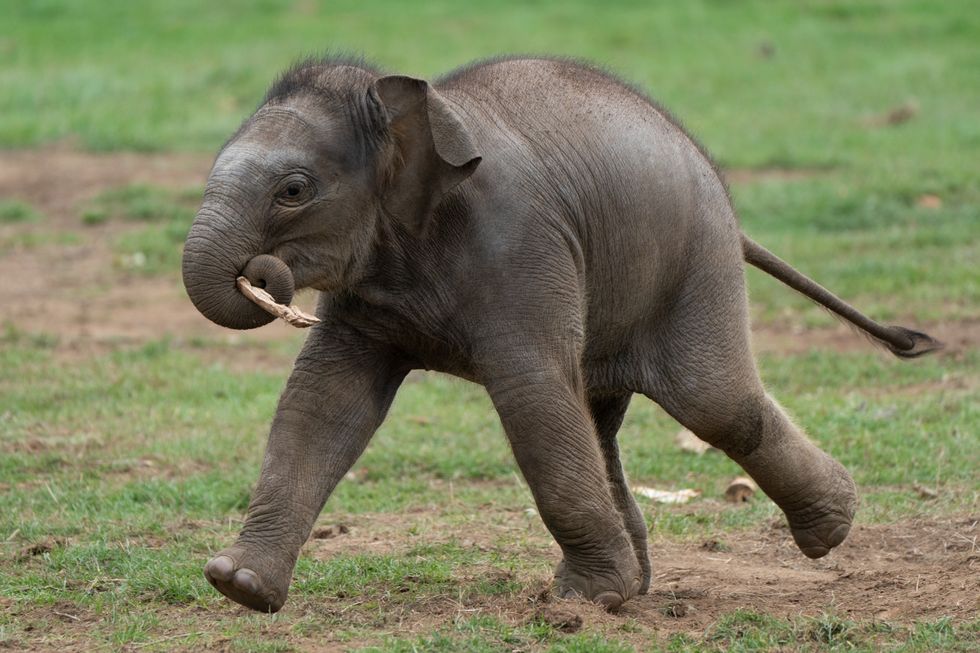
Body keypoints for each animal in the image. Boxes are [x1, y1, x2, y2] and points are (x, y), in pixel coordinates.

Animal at [182, 54, 940, 612]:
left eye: (293, 190)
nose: (265, 274)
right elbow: (324, 399)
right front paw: (239, 585)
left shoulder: (520, 244)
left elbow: (532, 392)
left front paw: (581, 602)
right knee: (601, 416)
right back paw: (639, 587)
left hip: (694, 264)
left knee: (715, 401)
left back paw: (826, 530)